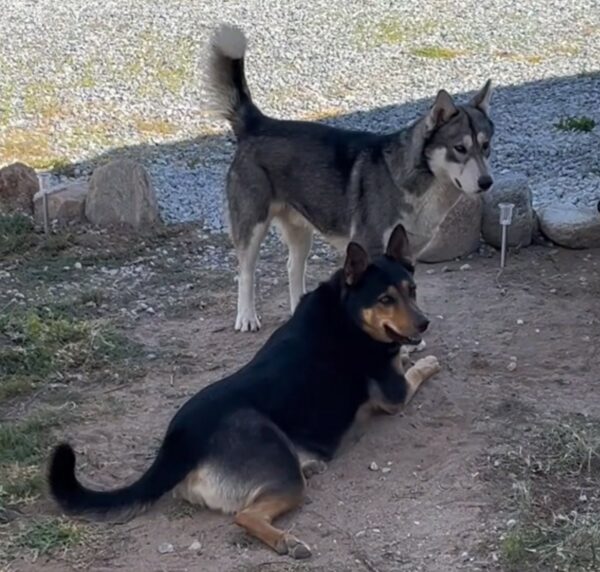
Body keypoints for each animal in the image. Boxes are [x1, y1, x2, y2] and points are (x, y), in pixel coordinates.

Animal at [48, 223, 440, 560]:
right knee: (245, 516)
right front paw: (428, 360)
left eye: (412, 290)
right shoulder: (395, 393)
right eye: (385, 299)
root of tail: (179, 442)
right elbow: (415, 369)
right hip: (277, 461)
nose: (424, 323)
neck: (347, 311)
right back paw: (287, 541)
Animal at [206, 25, 492, 330]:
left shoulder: (407, 254)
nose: (487, 182)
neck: (412, 178)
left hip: (300, 231)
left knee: (293, 268)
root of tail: (258, 123)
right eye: (460, 148)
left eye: (486, 146)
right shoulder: (371, 248)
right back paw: (247, 317)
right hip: (253, 227)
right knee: (246, 272)